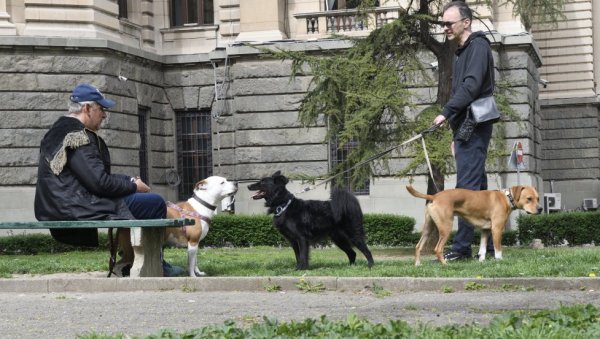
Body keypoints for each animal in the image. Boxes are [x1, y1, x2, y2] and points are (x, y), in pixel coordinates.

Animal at [406, 185, 540, 266]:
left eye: (538, 198)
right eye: (529, 198)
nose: (541, 209)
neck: (507, 198)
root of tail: (434, 196)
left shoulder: (485, 230)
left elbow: (483, 249)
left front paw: (481, 261)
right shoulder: (496, 229)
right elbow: (498, 249)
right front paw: (499, 260)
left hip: (428, 229)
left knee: (418, 246)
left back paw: (417, 264)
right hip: (446, 228)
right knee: (438, 249)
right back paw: (445, 264)